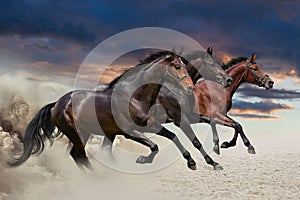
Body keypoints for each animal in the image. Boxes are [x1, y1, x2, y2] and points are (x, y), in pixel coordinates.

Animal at [7, 50, 195, 169]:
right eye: (177, 66)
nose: (191, 88)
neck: (133, 97)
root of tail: (56, 103)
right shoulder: (130, 131)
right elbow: (155, 145)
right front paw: (143, 160)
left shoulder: (149, 125)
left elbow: (172, 136)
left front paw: (191, 163)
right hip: (74, 132)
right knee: (80, 156)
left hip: (84, 132)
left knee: (76, 155)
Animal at [101, 47, 232, 170]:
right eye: (212, 64)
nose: (229, 80)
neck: (176, 90)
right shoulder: (180, 119)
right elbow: (196, 141)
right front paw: (210, 163)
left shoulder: (189, 116)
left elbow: (210, 120)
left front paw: (216, 148)